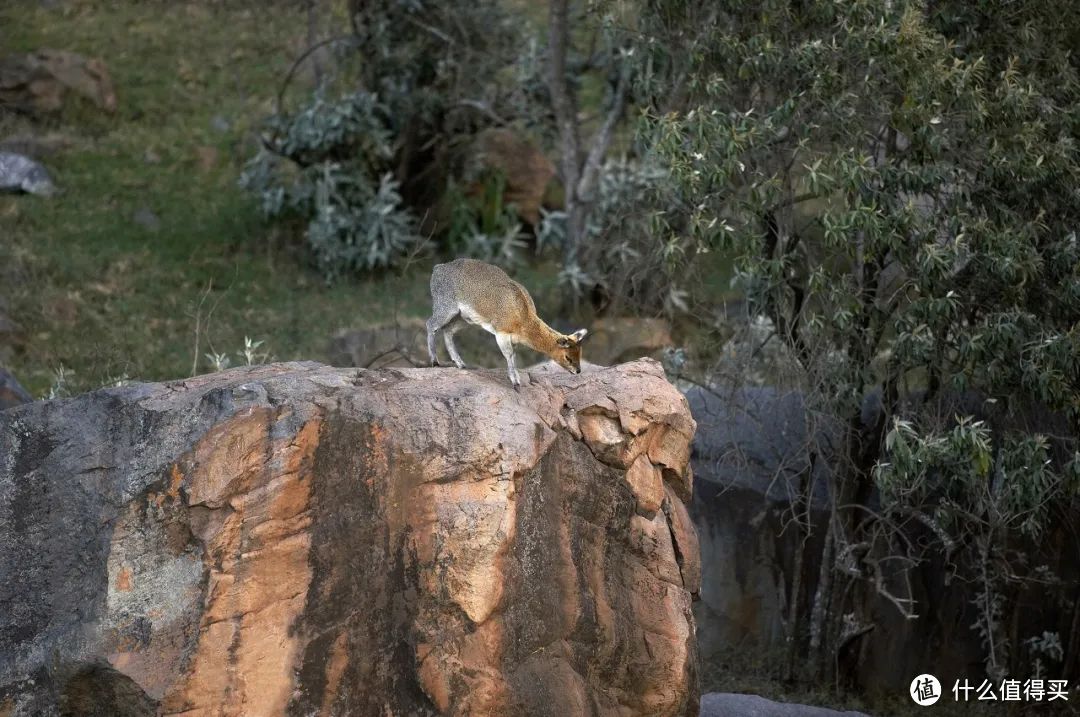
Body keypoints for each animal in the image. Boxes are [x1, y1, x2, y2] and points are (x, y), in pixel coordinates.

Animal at [425, 260, 591, 388]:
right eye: (567, 357)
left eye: (580, 353)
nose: (578, 371)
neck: (523, 318)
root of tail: (438, 268)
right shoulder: (501, 334)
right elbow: (508, 355)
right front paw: (515, 381)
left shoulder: (513, 339)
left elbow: (514, 356)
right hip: (446, 309)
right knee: (430, 324)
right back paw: (435, 361)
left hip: (464, 319)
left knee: (447, 330)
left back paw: (460, 363)